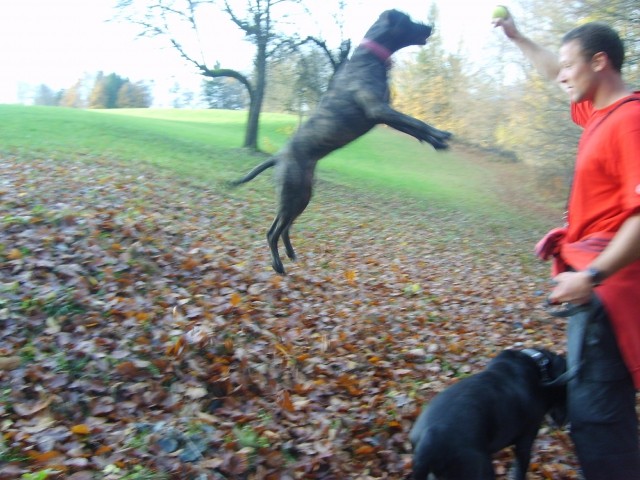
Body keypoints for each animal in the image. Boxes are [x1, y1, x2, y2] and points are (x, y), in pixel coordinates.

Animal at [230, 10, 450, 274]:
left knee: (284, 228)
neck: (370, 57)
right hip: (291, 195)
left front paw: (435, 141)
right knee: (272, 231)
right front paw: (440, 135)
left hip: (302, 196)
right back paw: (278, 265)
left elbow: (412, 128)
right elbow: (416, 122)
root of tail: (278, 157)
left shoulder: (384, 114)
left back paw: (291, 254)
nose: (430, 27)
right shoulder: (379, 110)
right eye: (408, 20)